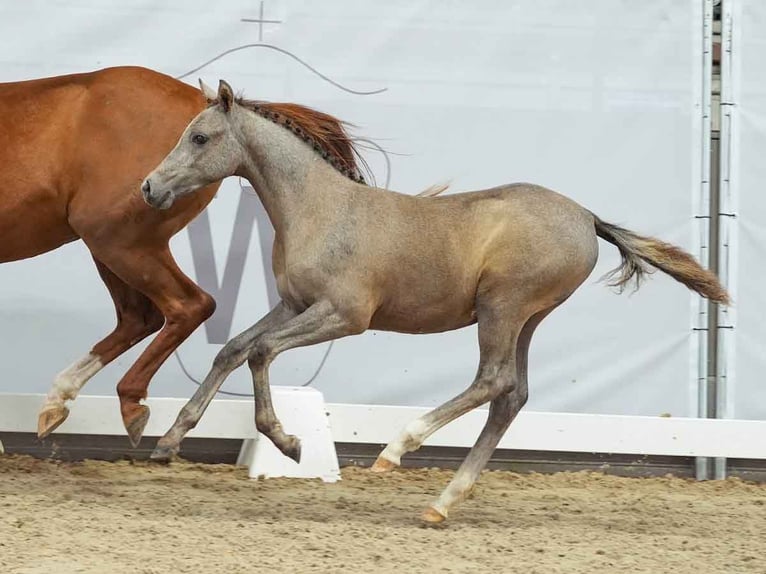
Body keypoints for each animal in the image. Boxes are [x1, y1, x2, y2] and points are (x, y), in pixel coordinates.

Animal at [0, 66, 222, 446]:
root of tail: (201, 101)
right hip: (112, 248)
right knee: (139, 318)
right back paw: (57, 404)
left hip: (121, 243)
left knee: (189, 305)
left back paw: (130, 405)